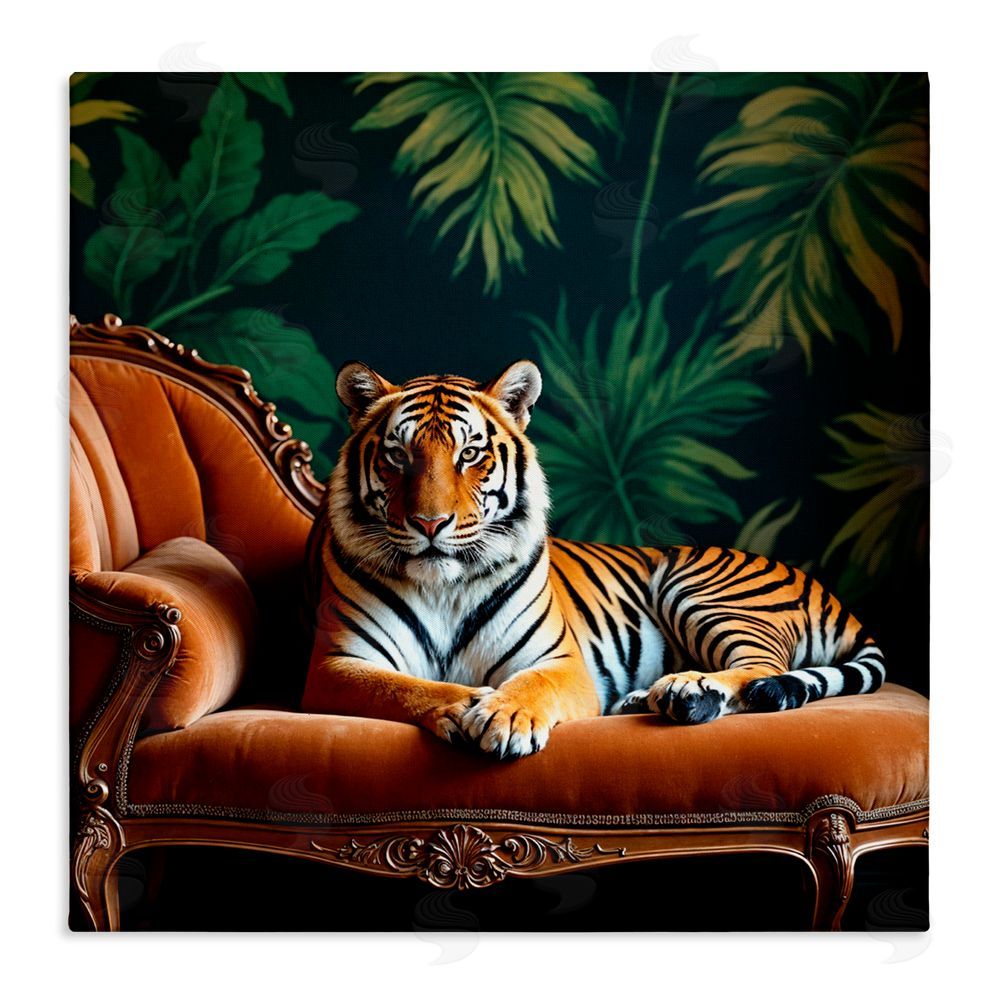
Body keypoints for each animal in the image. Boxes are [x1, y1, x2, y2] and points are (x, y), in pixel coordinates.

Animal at [302, 359, 886, 758]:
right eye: (397, 455)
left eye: (469, 454)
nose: (429, 524)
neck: (444, 586)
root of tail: (829, 593)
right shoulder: (336, 664)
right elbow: (404, 686)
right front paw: (466, 704)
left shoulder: (560, 661)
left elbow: (530, 685)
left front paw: (506, 715)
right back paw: (649, 699)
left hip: (701, 589)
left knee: (762, 669)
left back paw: (686, 691)